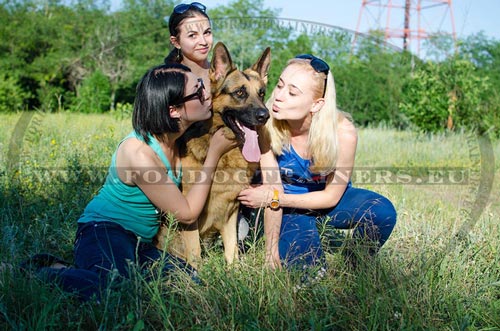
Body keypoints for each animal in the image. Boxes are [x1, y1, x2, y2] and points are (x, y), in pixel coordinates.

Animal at [157, 42, 272, 268]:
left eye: (262, 93)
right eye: (240, 93)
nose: (265, 116)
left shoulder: (230, 213)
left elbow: (232, 252)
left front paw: (234, 271)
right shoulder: (190, 218)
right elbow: (195, 256)